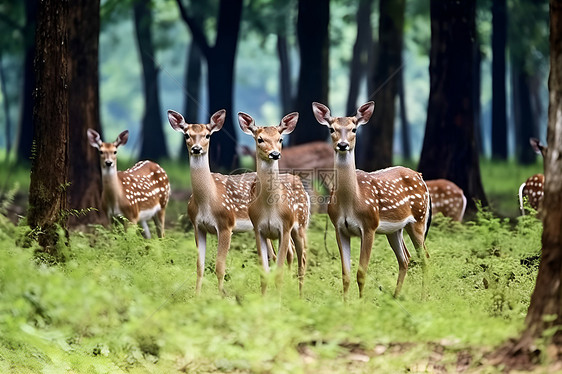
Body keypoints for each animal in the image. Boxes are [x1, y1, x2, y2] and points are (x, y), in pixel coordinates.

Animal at [165, 108, 282, 296]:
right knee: (273, 256)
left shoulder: (226, 224)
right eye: (187, 135)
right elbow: (199, 266)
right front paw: (196, 296)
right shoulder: (197, 226)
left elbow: (220, 267)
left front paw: (221, 296)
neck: (207, 200)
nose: (196, 149)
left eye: (207, 135)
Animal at [235, 111, 308, 296]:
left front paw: (279, 300)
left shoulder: (285, 226)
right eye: (260, 139)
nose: (275, 154)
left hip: (301, 224)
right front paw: (264, 299)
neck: (270, 209)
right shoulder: (258, 229)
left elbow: (279, 272)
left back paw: (300, 296)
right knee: (290, 254)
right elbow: (264, 272)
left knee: (302, 259)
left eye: (280, 139)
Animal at [310, 100, 428, 298]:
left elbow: (361, 273)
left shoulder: (369, 225)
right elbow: (345, 274)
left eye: (354, 129)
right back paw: (395, 297)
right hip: (394, 229)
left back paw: (422, 298)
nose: (343, 145)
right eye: (331, 129)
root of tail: (419, 175)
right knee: (405, 258)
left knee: (425, 257)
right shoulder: (339, 228)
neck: (351, 201)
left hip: (419, 218)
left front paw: (361, 302)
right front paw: (345, 302)